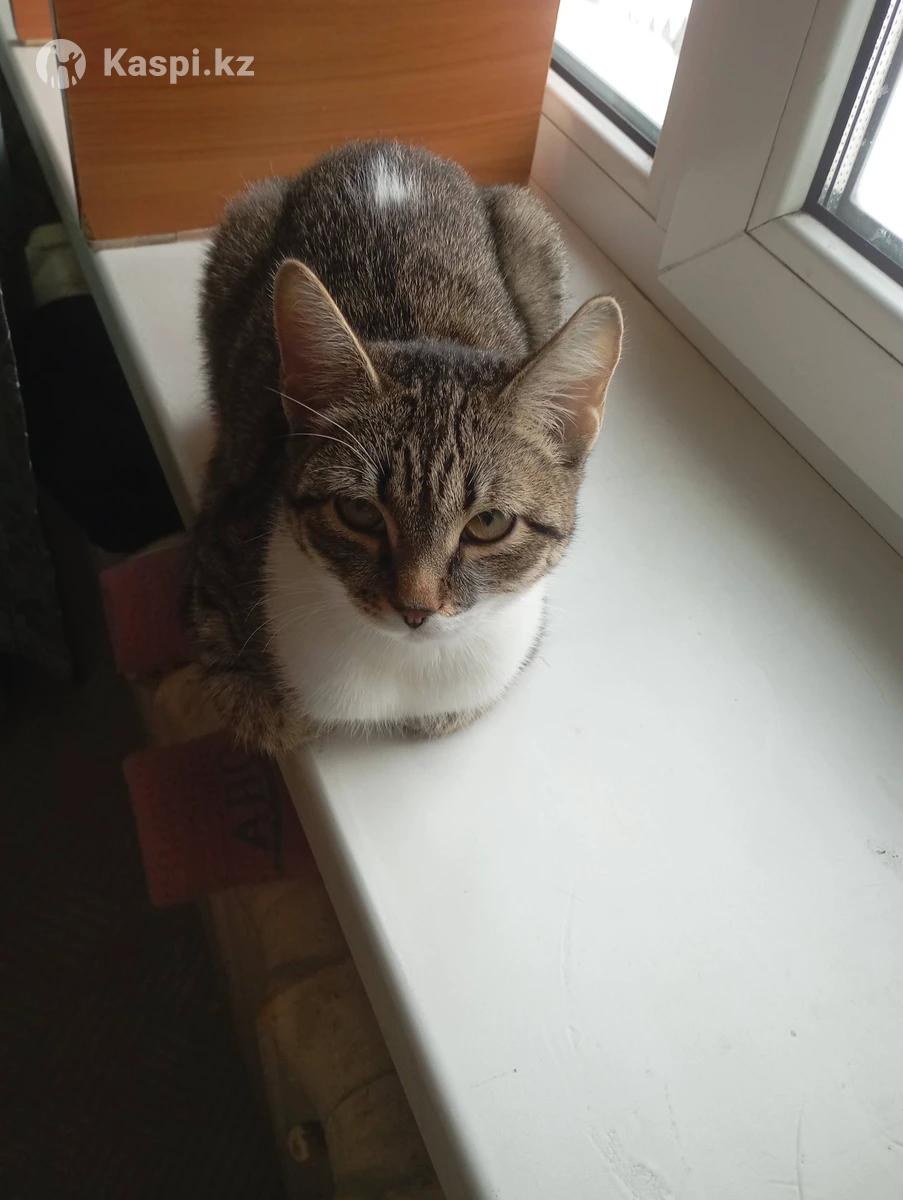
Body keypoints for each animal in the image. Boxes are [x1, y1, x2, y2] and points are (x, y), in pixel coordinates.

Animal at [188, 140, 623, 753]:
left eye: (489, 522)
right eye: (358, 510)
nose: (415, 609)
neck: (402, 669)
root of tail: (385, 148)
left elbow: (451, 711)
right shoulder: (218, 551)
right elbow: (261, 709)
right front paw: (281, 712)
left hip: (531, 230)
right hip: (241, 230)